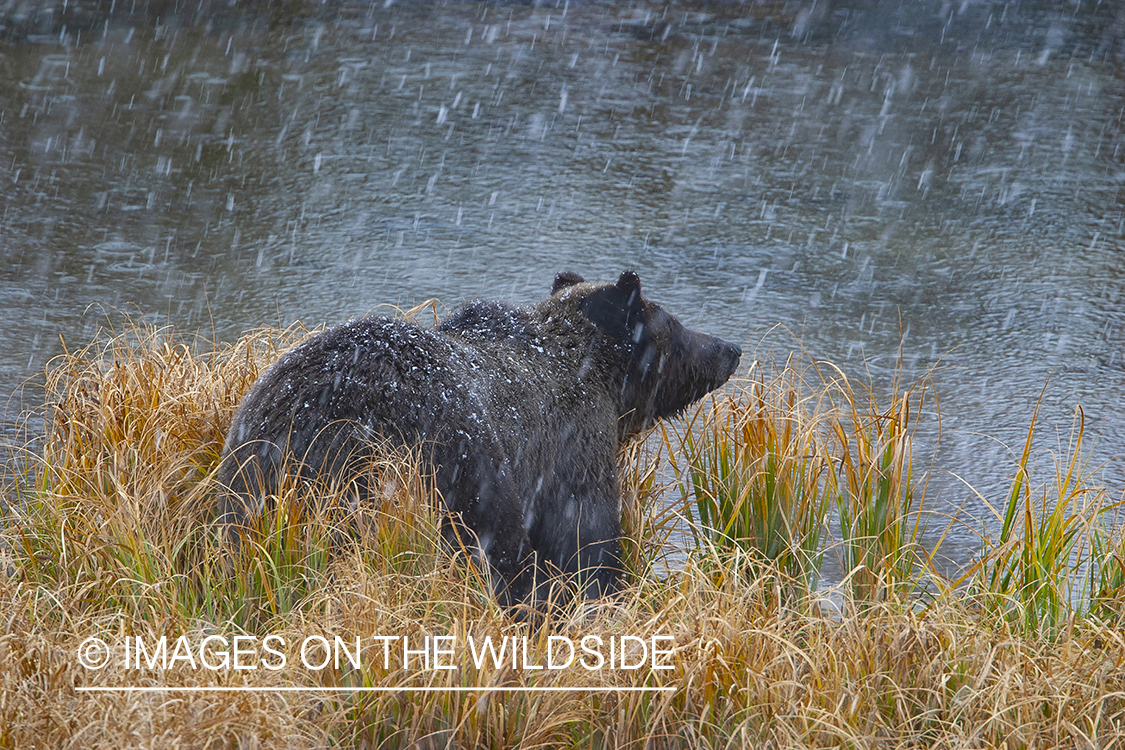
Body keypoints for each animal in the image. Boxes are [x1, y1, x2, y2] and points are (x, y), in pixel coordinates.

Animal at [216, 273, 742, 607]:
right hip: (442, 461)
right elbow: (583, 541)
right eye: (674, 324)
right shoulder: (571, 452)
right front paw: (600, 594)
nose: (730, 348)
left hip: (254, 469)